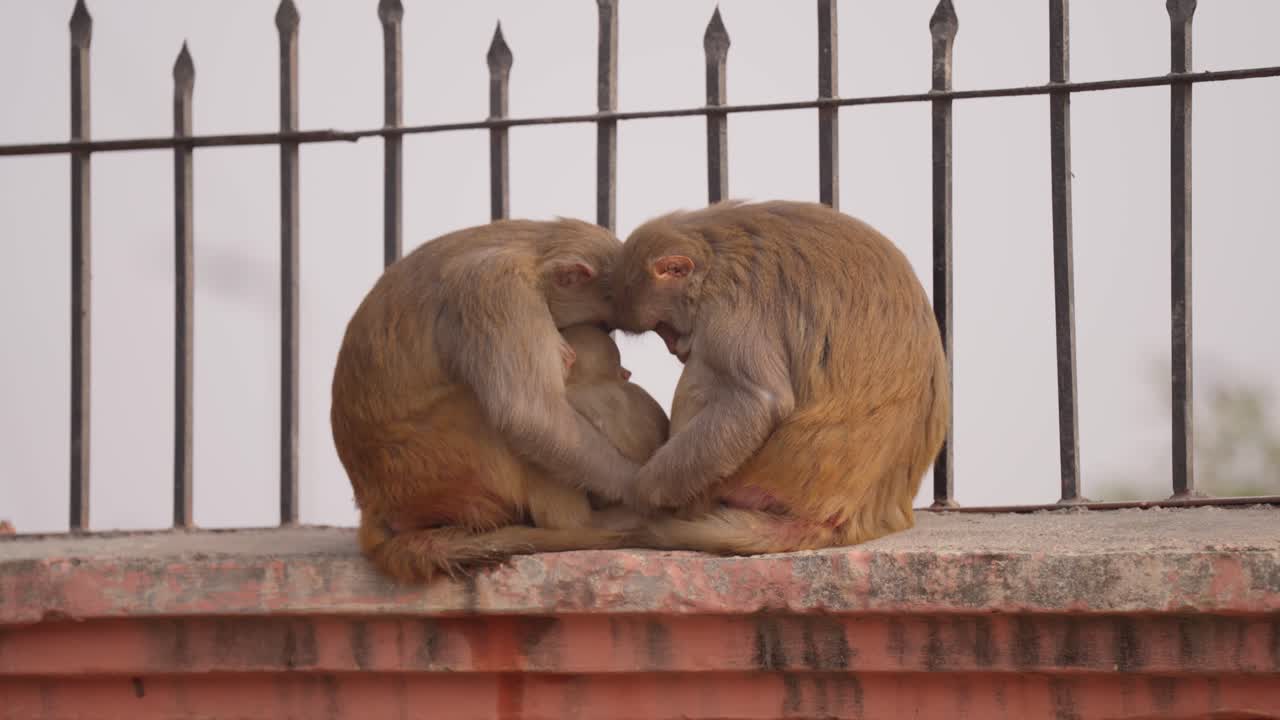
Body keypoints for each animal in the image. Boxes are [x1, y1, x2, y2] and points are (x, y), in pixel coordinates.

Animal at [331, 219, 655, 583]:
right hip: (438, 469)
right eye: (604, 319)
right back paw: (583, 524)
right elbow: (529, 416)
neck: (531, 255)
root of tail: (375, 506)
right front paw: (639, 490)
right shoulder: (500, 292)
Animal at [611, 200, 950, 555]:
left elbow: (759, 401)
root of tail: (853, 517)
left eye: (663, 327)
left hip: (759, 478)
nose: (676, 348)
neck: (715, 250)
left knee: (702, 377)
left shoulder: (729, 304)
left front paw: (640, 492)